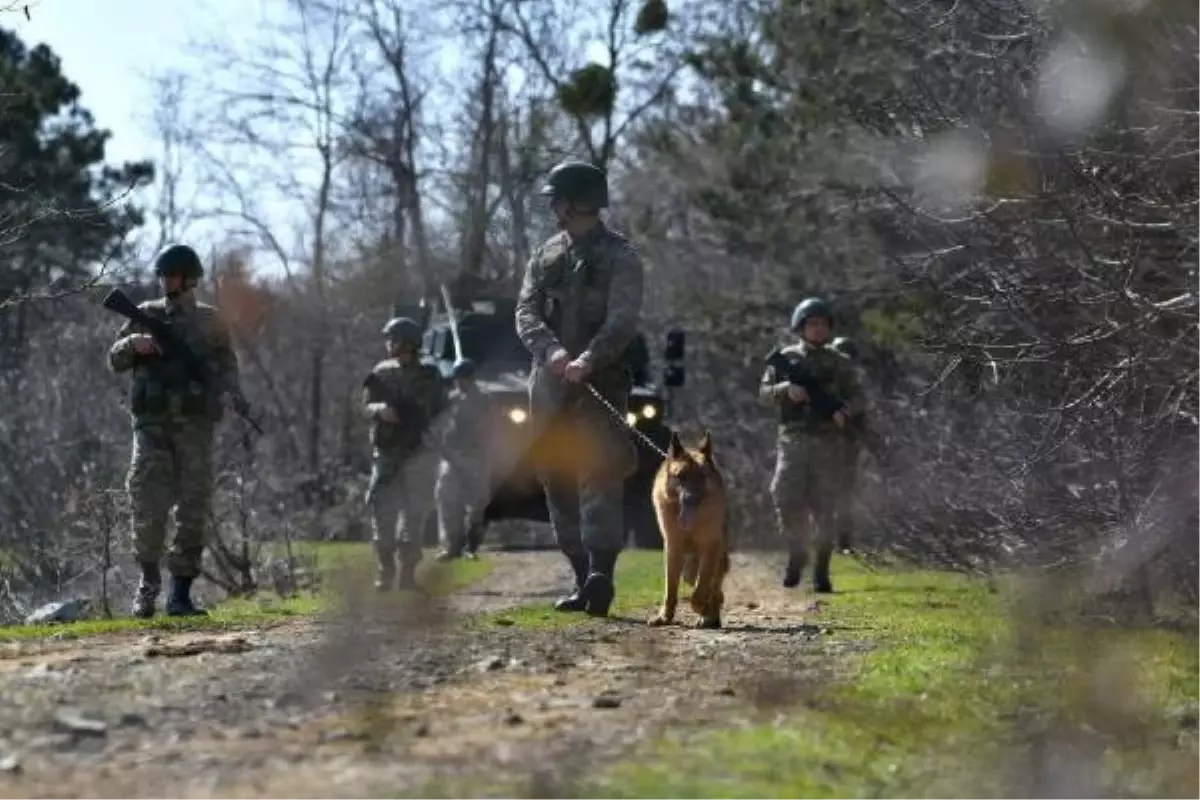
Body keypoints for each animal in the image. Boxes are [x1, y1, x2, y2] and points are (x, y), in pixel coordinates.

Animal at [648, 431, 729, 633]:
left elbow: (699, 592)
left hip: (712, 561)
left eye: (701, 476)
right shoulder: (672, 548)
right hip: (688, 571)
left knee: (715, 590)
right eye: (680, 476)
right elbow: (670, 588)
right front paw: (665, 617)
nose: (691, 499)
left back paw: (709, 617)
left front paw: (702, 608)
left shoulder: (710, 548)